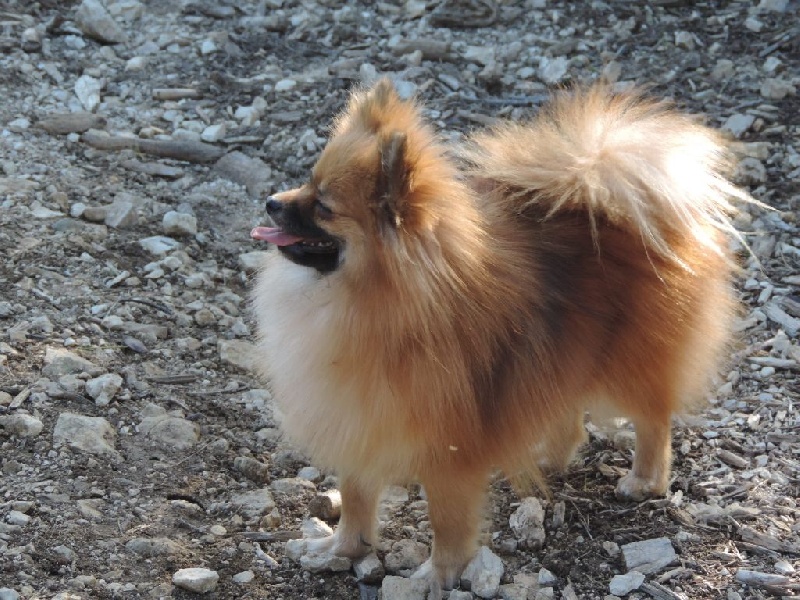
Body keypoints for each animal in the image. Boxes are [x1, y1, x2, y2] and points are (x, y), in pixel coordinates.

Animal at [250, 78, 752, 592]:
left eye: (323, 205)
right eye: (308, 180)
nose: (271, 201)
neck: (367, 301)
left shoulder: (446, 450)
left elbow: (447, 522)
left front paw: (436, 575)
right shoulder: (356, 418)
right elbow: (354, 498)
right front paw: (342, 549)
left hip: (626, 358)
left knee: (653, 419)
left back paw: (645, 479)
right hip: (560, 353)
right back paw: (545, 456)